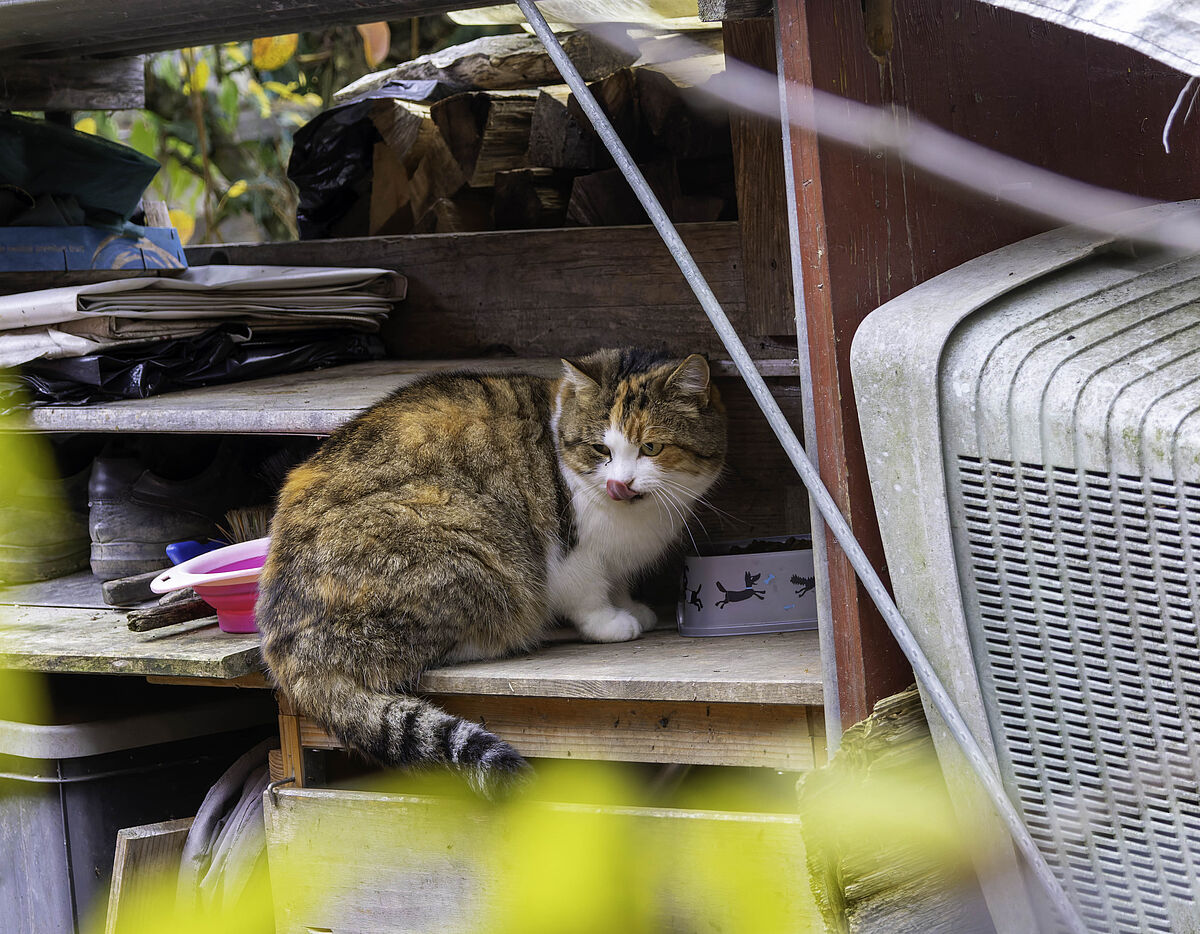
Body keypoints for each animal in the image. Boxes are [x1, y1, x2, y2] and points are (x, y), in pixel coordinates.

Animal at [258, 345, 724, 797]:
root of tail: (284, 650)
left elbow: (620, 582)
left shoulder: (618, 558)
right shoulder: (571, 548)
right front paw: (611, 623)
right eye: (600, 450)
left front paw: (633, 607)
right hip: (469, 547)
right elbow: (588, 592)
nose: (621, 484)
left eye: (651, 448)